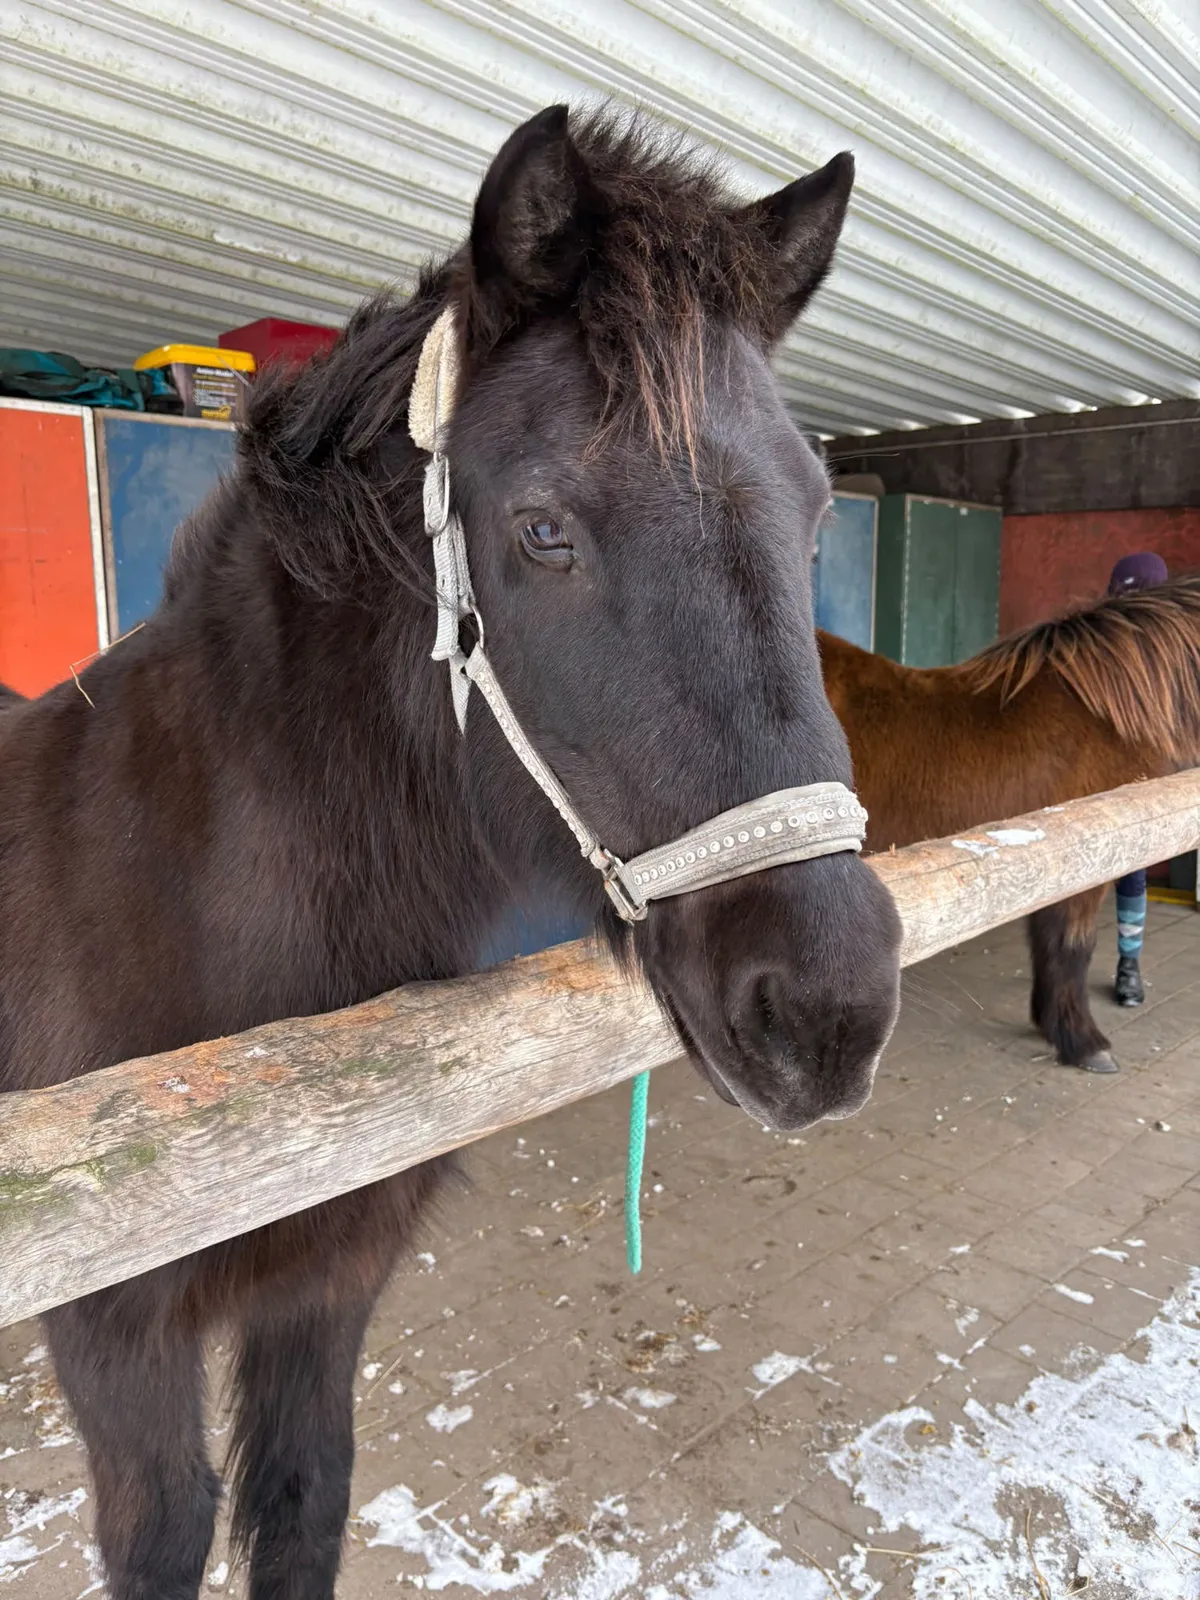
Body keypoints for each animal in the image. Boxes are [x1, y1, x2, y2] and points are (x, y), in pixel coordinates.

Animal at [0, 106, 902, 1598]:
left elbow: (301, 1502)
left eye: (820, 513)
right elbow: (168, 1534)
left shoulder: (325, 1293)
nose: (829, 1004)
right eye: (542, 529)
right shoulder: (115, 1343)